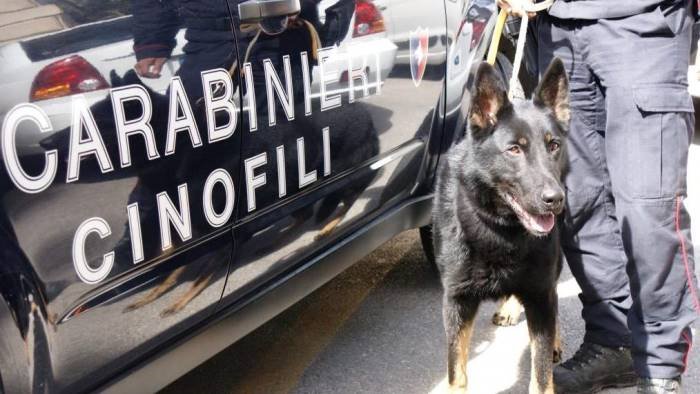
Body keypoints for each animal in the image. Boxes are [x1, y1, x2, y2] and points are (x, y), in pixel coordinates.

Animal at [434, 59, 572, 394]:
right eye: (514, 150)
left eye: (554, 145)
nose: (555, 199)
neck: (502, 230)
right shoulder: (456, 301)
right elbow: (456, 370)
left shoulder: (539, 294)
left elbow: (541, 372)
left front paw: (548, 356)